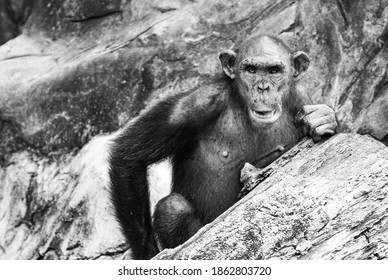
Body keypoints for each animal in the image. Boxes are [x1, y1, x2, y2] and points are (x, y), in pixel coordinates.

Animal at [108, 35, 336, 260]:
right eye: (251, 70)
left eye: (274, 71)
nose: (262, 87)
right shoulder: (192, 106)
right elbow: (129, 156)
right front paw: (147, 255)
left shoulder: (301, 99)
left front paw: (322, 118)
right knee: (173, 208)